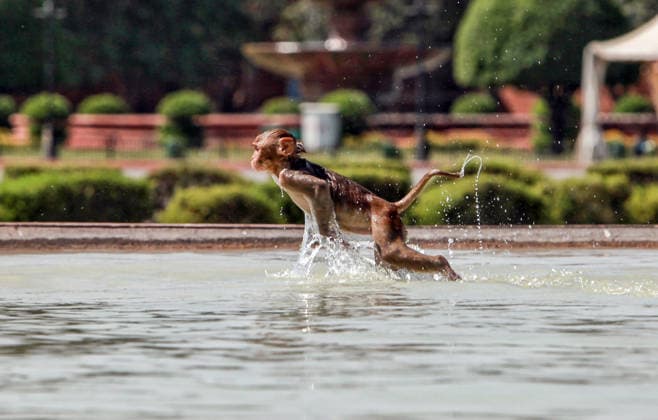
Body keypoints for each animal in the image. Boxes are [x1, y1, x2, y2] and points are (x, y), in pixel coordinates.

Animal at [251, 128, 461, 281]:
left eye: (257, 149)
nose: (252, 159)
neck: (287, 164)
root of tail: (389, 205)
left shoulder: (290, 177)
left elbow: (320, 187)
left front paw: (331, 238)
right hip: (393, 223)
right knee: (385, 257)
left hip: (384, 219)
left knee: (390, 252)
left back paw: (443, 265)